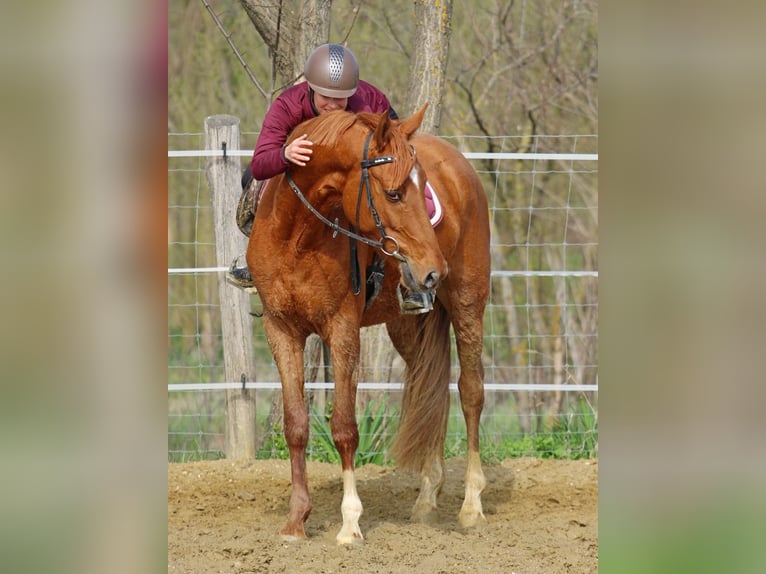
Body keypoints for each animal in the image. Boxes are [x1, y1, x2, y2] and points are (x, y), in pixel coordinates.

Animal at [246, 104, 491, 544]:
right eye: (393, 193)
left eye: (422, 189)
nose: (433, 271)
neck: (298, 237)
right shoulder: (280, 330)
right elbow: (296, 425)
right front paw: (296, 520)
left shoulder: (342, 330)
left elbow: (344, 427)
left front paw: (350, 522)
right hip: (408, 327)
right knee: (431, 388)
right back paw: (427, 498)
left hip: (468, 303)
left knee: (470, 392)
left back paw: (471, 505)